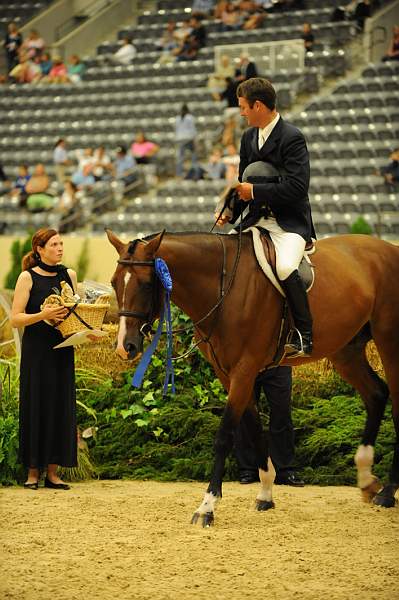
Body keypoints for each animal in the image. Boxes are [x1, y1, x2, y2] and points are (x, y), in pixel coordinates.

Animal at [107, 227, 399, 524]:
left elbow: (225, 435)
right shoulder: (228, 374)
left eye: (146, 284)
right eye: (114, 283)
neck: (224, 287)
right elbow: (255, 429)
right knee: (376, 394)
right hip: (346, 351)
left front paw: (207, 506)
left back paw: (387, 492)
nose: (124, 346)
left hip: (389, 342)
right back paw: (367, 480)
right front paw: (266, 494)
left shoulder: (244, 370)